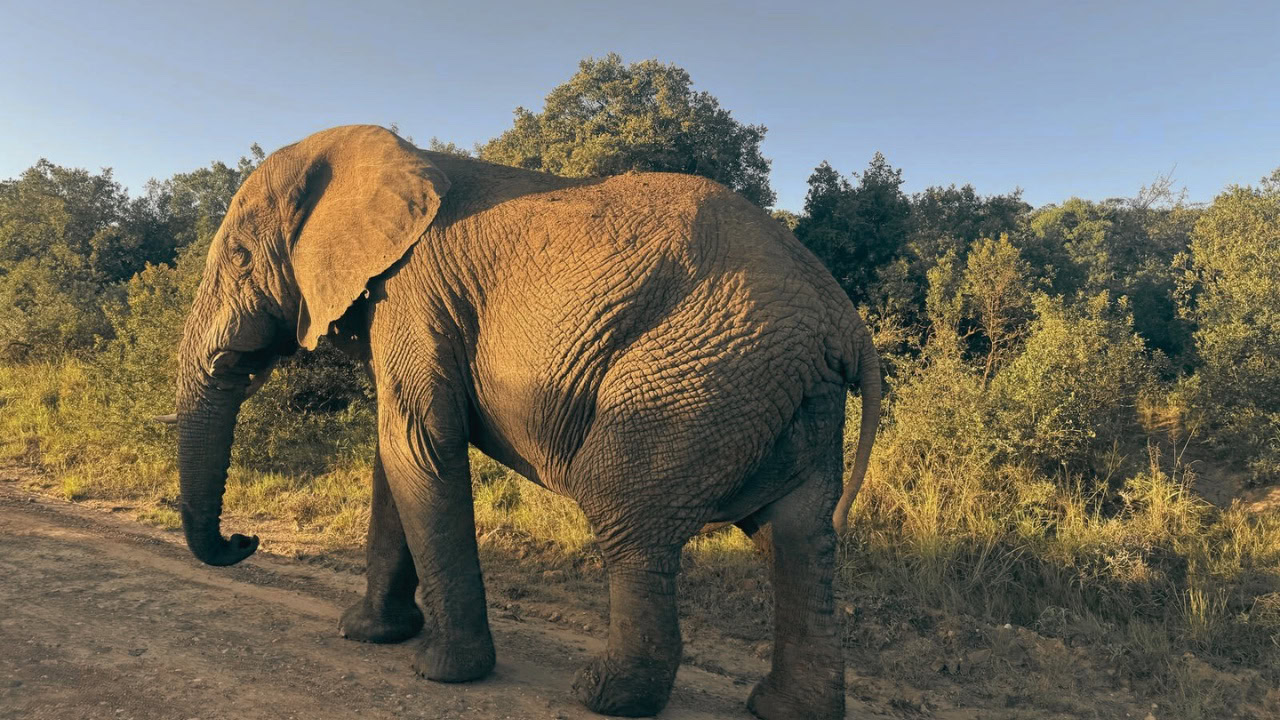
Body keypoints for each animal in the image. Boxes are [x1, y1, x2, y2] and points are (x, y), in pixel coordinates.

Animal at [172, 124, 880, 719]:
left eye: (240, 259)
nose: (245, 541)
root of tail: (842, 321)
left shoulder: (415, 296)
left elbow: (418, 448)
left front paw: (443, 673)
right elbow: (395, 459)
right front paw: (368, 635)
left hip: (703, 374)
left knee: (627, 514)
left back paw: (603, 697)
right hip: (789, 393)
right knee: (799, 536)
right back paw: (785, 710)